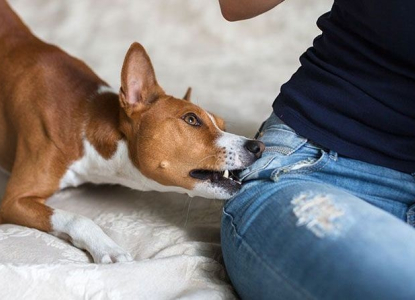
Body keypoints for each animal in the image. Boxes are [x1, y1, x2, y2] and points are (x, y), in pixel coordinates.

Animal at [0, 0, 266, 262]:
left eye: (223, 125)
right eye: (191, 119)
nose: (258, 146)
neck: (83, 120)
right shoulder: (14, 200)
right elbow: (78, 218)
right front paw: (109, 248)